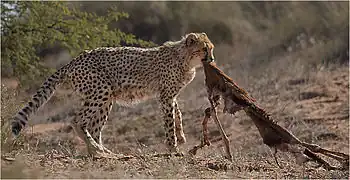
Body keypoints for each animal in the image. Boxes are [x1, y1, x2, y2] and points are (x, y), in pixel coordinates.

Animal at [10, 33, 215, 158]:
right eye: (204, 49)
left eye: (211, 48)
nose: (212, 59)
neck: (185, 58)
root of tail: (73, 61)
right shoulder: (165, 96)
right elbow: (169, 121)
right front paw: (174, 148)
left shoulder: (170, 95)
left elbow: (177, 113)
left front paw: (181, 136)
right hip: (101, 91)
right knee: (77, 121)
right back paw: (97, 149)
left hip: (105, 98)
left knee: (93, 127)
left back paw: (103, 152)